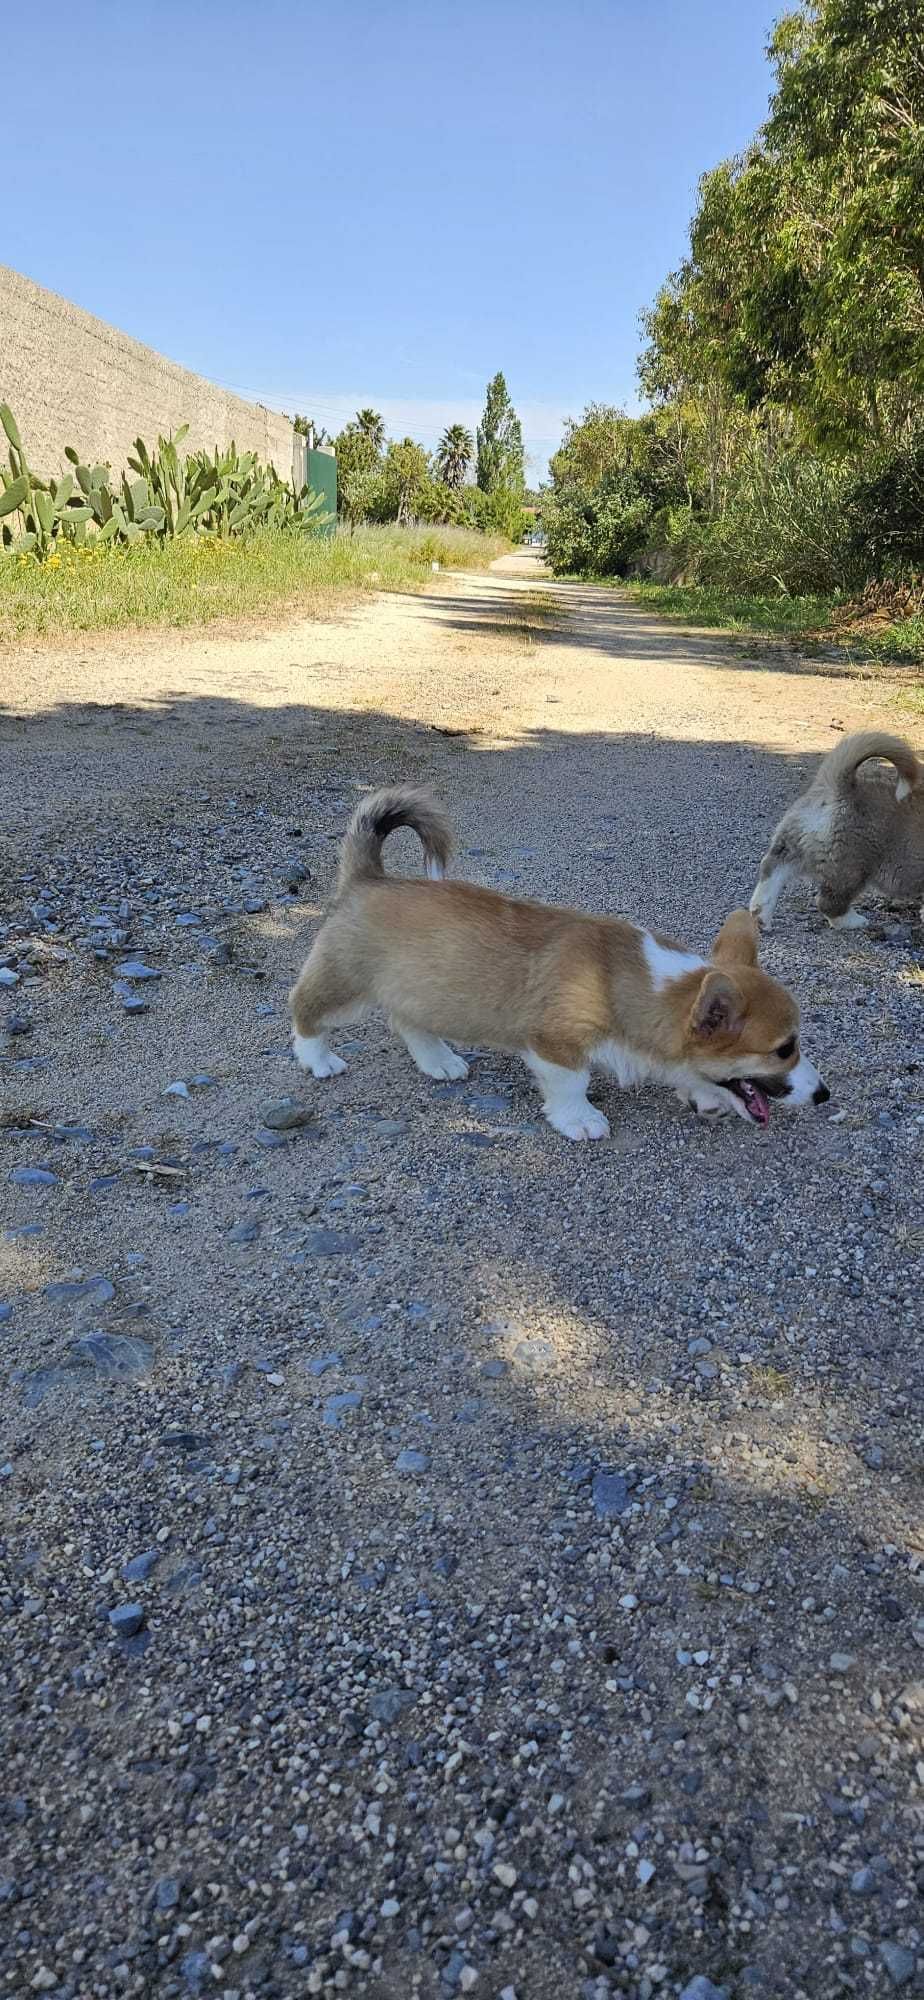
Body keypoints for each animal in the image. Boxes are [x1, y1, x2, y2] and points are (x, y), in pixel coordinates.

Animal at [290, 792, 832, 1152]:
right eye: (783, 1049)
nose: (824, 1095)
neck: (639, 985)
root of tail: (369, 878)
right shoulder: (556, 1044)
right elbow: (572, 1085)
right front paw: (581, 1120)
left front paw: (702, 1093)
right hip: (343, 984)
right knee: (304, 1009)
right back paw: (320, 1059)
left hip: (424, 991)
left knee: (409, 1023)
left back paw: (439, 1061)